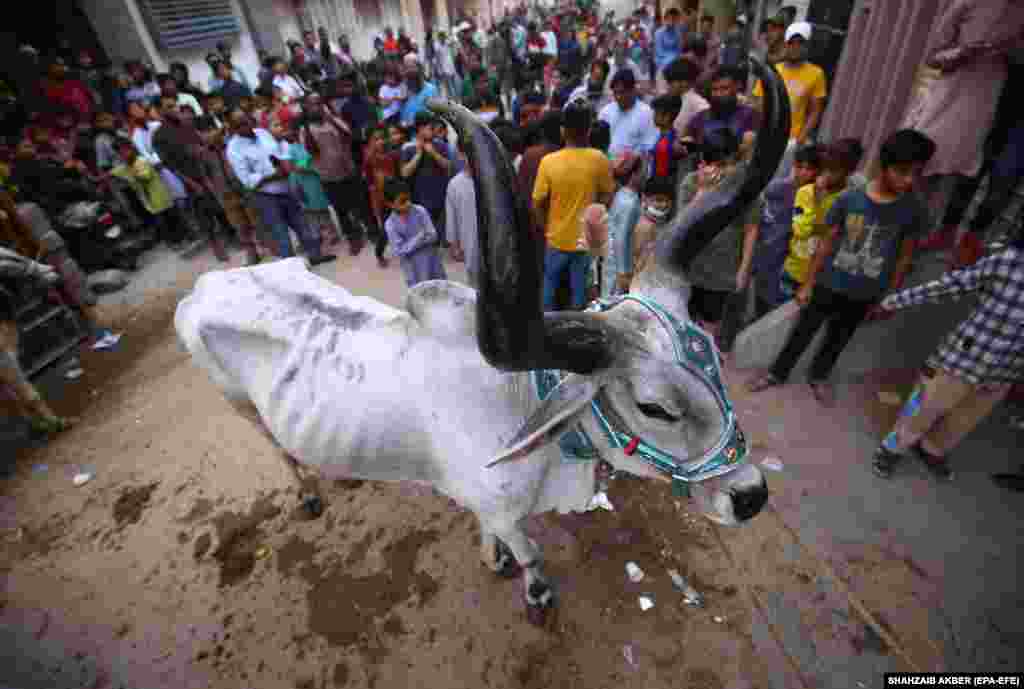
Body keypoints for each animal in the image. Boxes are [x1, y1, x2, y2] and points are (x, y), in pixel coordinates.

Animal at [176, 57, 786, 618]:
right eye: (654, 407)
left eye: (713, 365)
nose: (751, 495)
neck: (521, 405)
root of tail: (206, 285)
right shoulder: (505, 511)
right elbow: (531, 553)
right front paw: (535, 592)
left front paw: (492, 557)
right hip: (240, 405)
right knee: (279, 451)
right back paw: (306, 492)